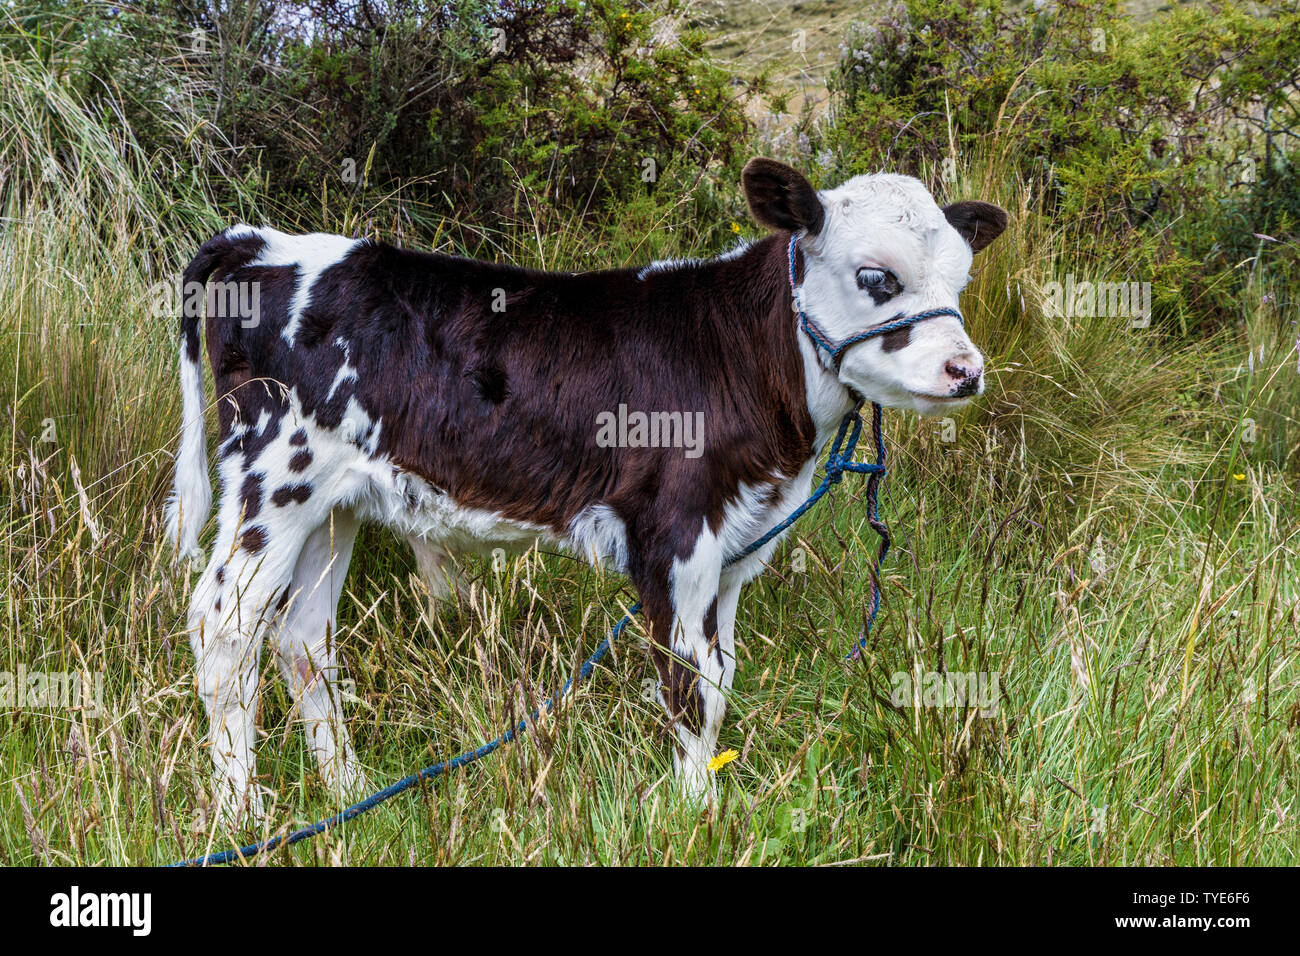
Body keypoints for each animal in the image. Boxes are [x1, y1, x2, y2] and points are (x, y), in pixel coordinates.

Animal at [167, 160, 1008, 816]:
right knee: (224, 626)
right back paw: (243, 812)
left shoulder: (740, 545)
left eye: (963, 279)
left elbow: (723, 673)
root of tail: (261, 242)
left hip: (333, 505)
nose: (965, 371)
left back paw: (347, 788)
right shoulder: (674, 536)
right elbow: (691, 683)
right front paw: (697, 812)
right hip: (273, 473)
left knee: (301, 634)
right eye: (876, 277)